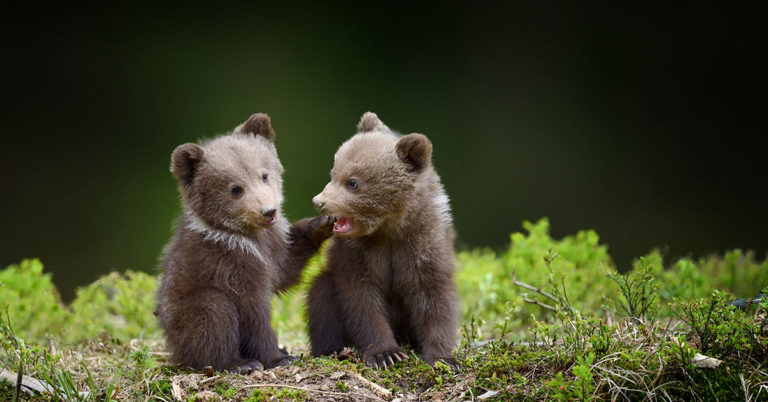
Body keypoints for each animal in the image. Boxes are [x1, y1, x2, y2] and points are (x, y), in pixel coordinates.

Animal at [156, 113, 332, 373]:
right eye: (235, 188)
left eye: (264, 174)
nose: (268, 211)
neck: (248, 237)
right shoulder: (231, 264)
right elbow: (253, 313)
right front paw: (278, 357)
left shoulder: (273, 248)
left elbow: (286, 269)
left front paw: (322, 223)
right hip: (189, 309)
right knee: (214, 315)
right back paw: (240, 363)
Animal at [308, 112, 459, 369]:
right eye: (333, 173)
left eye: (352, 182)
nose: (319, 201)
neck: (389, 229)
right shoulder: (357, 255)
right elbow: (362, 301)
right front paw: (385, 354)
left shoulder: (425, 246)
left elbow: (435, 299)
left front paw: (444, 357)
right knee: (321, 299)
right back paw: (334, 349)